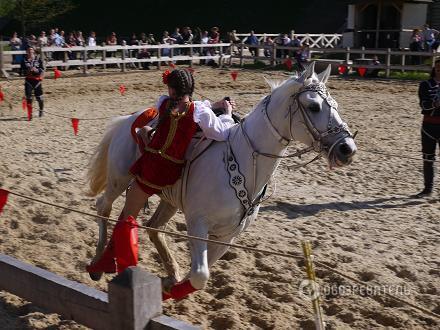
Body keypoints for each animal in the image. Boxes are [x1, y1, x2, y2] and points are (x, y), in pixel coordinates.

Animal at [86, 63, 358, 298]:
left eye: (334, 104)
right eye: (314, 107)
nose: (347, 148)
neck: (243, 163)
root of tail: (129, 120)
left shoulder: (228, 235)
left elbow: (197, 276)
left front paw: (169, 289)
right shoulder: (198, 225)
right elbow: (200, 275)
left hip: (168, 199)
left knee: (149, 226)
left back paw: (166, 272)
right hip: (120, 180)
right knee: (106, 209)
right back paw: (99, 262)